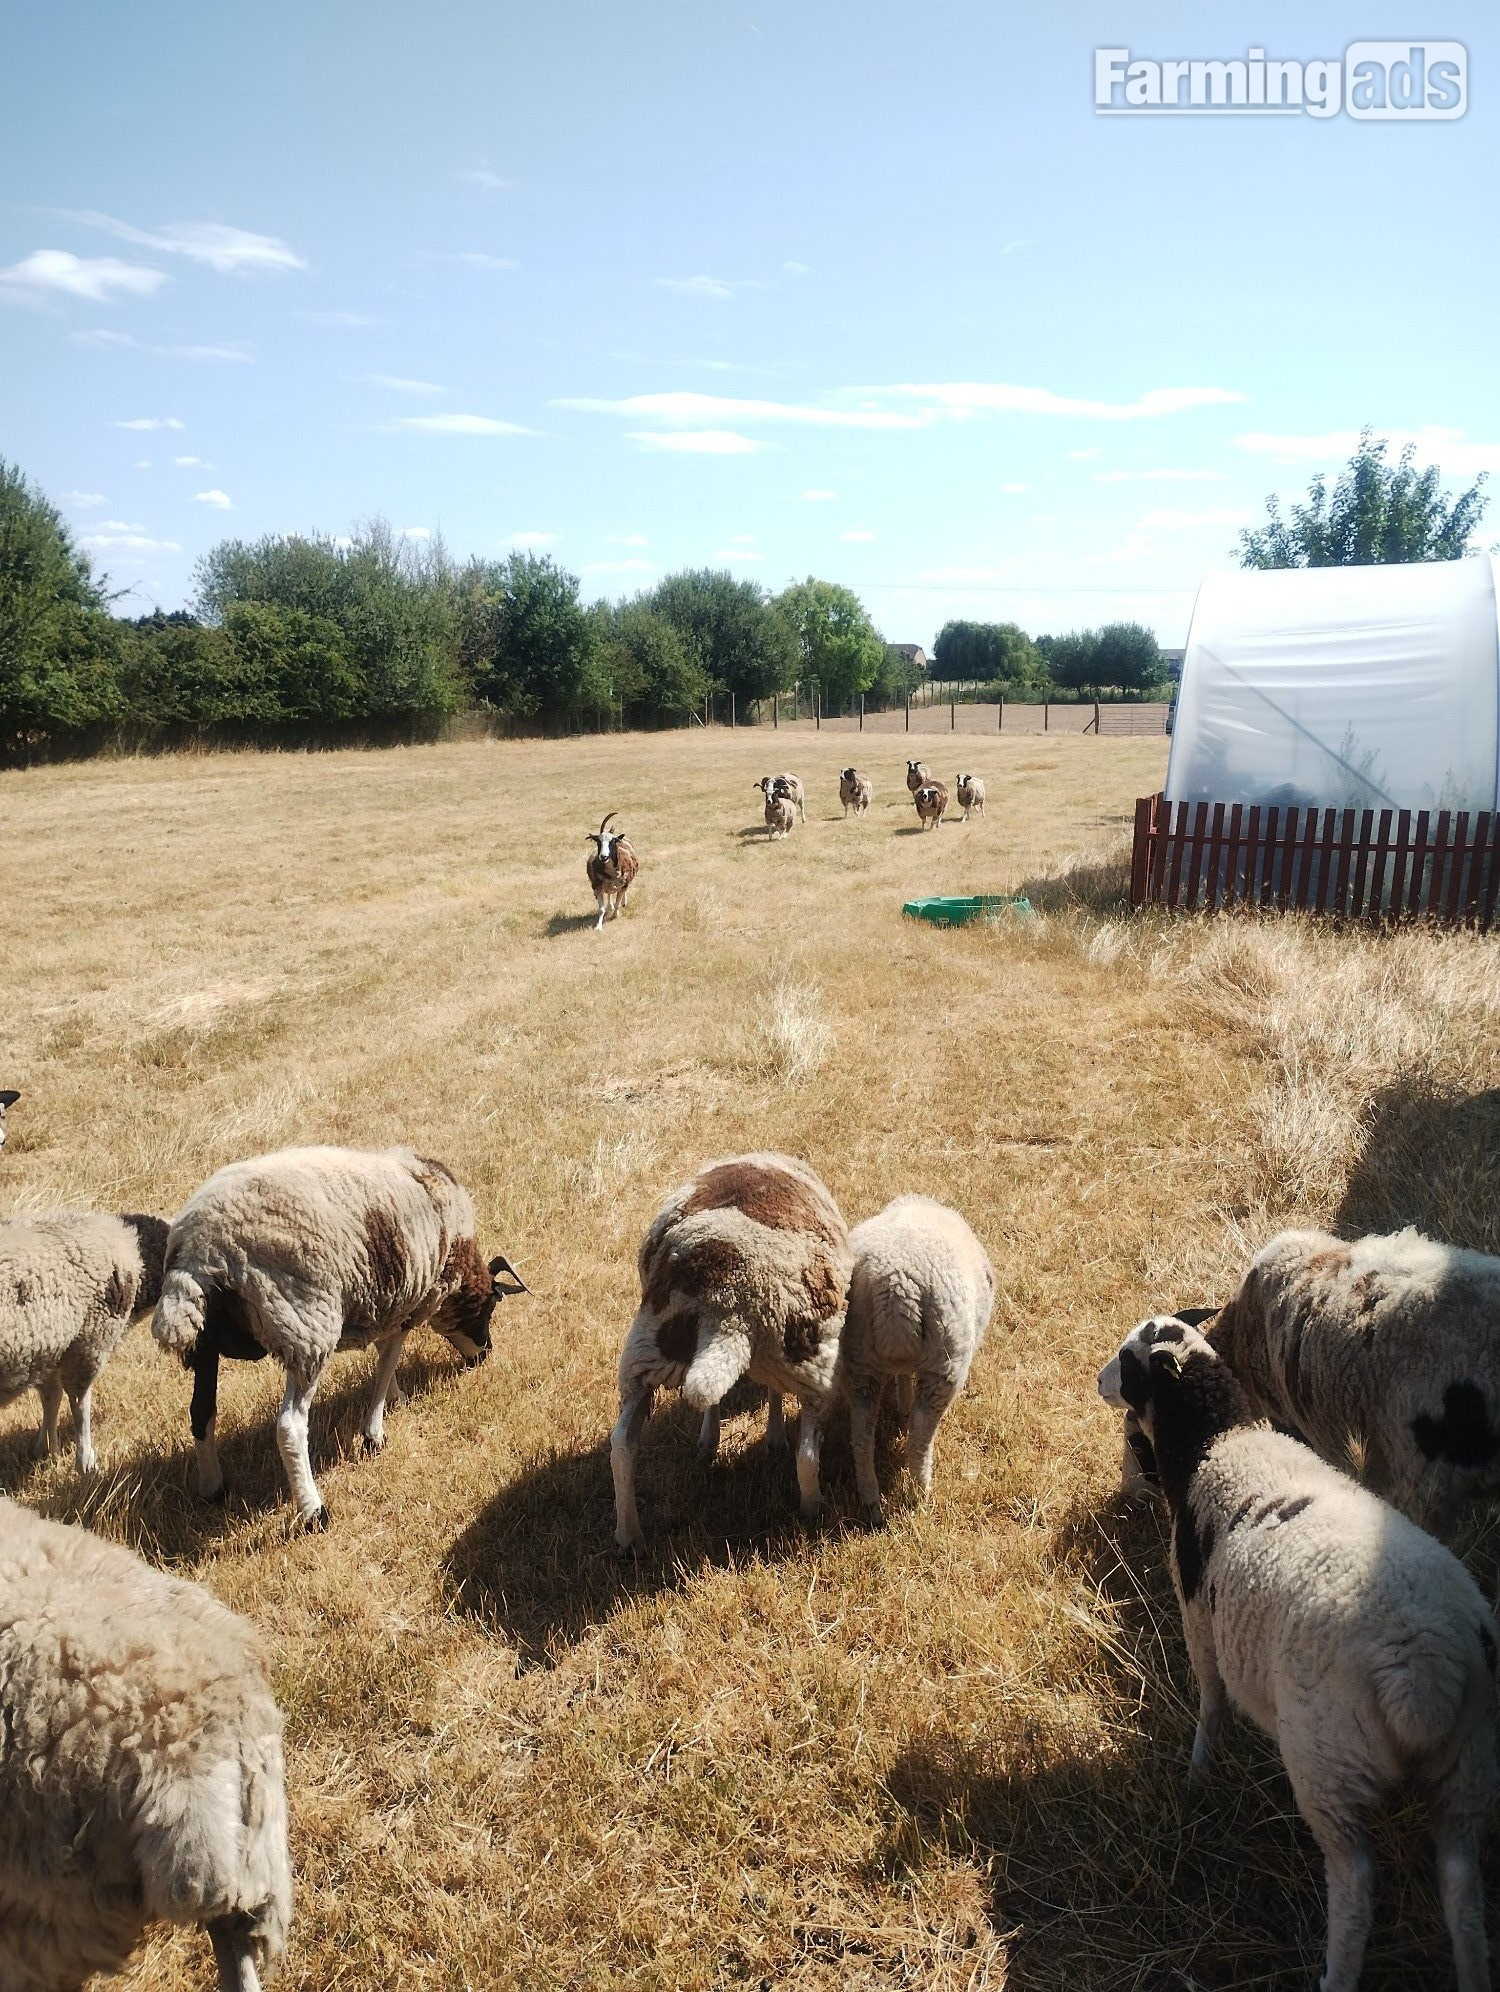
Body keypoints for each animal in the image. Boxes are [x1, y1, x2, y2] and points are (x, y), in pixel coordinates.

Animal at [0, 1209, 168, 1476]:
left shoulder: (50, 1349)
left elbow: (51, 1398)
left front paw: (47, 1451)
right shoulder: (88, 1342)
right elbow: (79, 1404)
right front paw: (86, 1463)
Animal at [153, 1145, 527, 1531]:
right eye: (491, 1306)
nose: (485, 1354)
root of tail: (199, 1252)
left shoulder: (386, 1303)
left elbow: (383, 1353)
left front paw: (395, 1399)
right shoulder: (410, 1300)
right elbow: (387, 1360)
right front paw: (374, 1433)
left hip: (205, 1342)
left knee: (201, 1412)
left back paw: (213, 1487)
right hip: (305, 1328)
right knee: (289, 1426)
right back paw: (313, 1511)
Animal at [610, 1152, 854, 1551]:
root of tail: (726, 1300)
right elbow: (777, 1400)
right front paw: (774, 1437)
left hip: (646, 1352)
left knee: (622, 1446)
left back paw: (629, 1534)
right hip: (813, 1365)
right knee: (807, 1453)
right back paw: (813, 1509)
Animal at [843, 1195, 994, 1515]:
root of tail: (896, 1283)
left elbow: (901, 1376)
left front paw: (902, 1402)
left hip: (858, 1358)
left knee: (862, 1430)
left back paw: (870, 1496)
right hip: (945, 1361)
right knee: (922, 1431)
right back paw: (919, 1490)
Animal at [1099, 1315, 1497, 1992]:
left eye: (1128, 1362)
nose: (1098, 1380)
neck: (1216, 1443)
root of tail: (1423, 1671)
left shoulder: (1197, 1613)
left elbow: (1210, 1700)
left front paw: (1198, 1772)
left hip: (1329, 1763)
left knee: (1356, 1887)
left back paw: (1336, 1973)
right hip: (1465, 1769)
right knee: (1464, 1897)